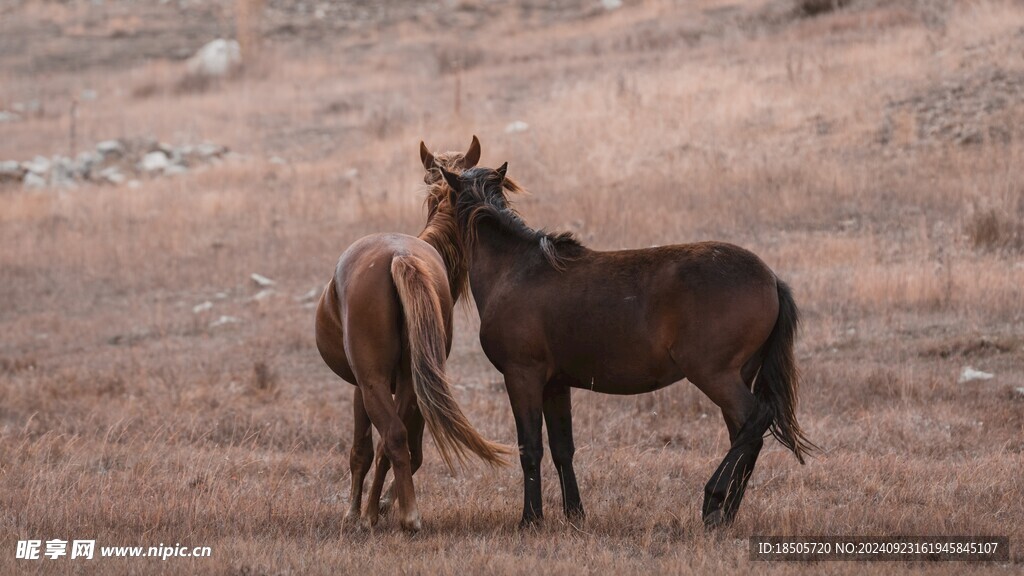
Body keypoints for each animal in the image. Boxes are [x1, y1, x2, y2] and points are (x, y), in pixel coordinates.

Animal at [313, 135, 509, 528]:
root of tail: (400, 257)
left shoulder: (360, 386)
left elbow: (362, 450)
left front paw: (356, 512)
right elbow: (406, 451)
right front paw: (377, 507)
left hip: (376, 383)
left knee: (390, 438)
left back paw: (403, 516)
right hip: (409, 381)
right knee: (399, 442)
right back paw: (396, 512)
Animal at [436, 163, 819, 528]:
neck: (514, 269)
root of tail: (771, 278)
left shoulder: (522, 377)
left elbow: (530, 449)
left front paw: (530, 519)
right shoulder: (555, 385)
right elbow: (562, 449)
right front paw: (575, 515)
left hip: (716, 376)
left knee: (756, 421)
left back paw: (714, 499)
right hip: (738, 375)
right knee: (746, 435)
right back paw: (725, 513)